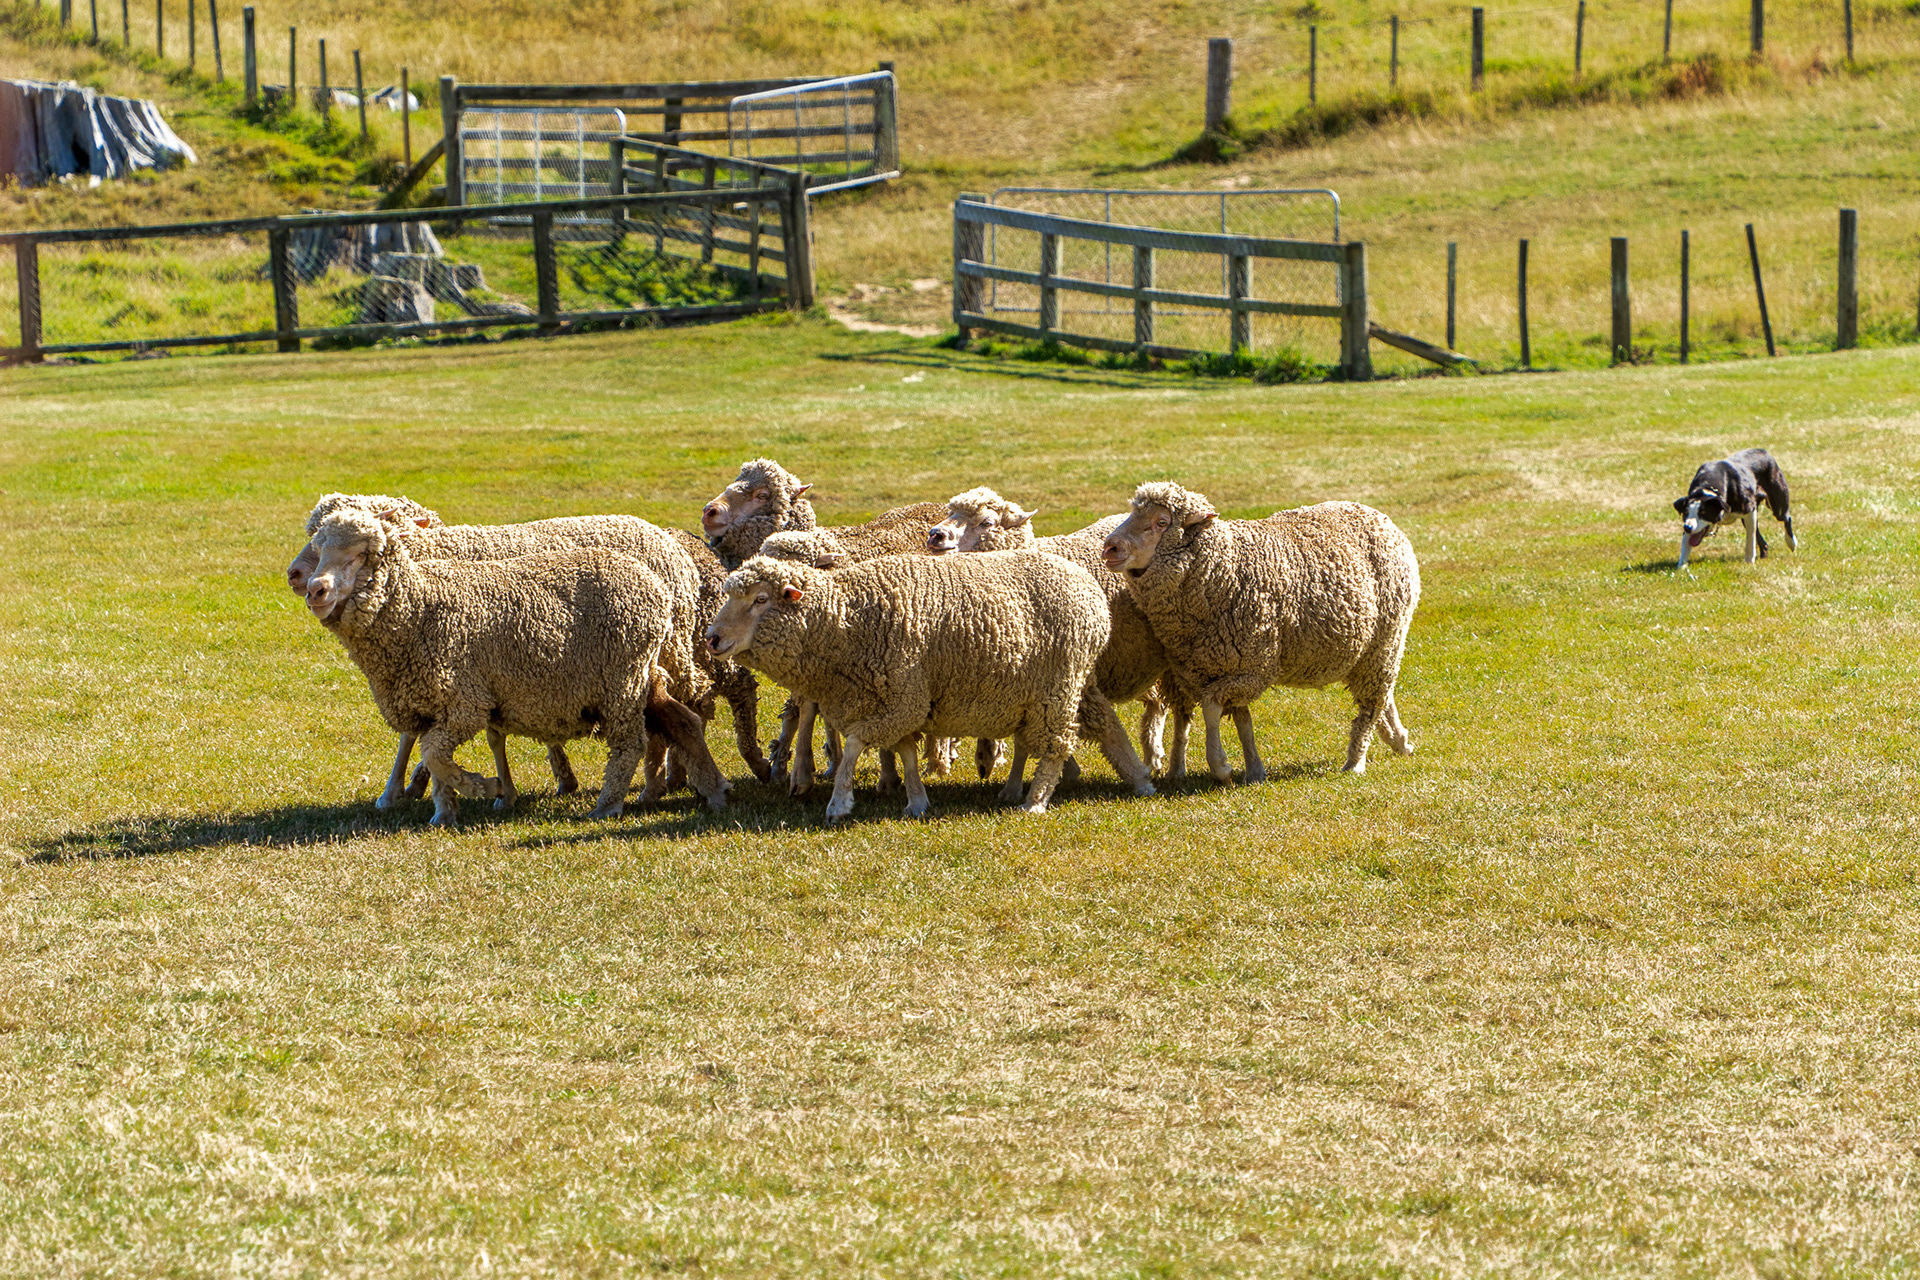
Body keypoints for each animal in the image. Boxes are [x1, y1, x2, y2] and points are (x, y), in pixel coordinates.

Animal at [288, 497, 748, 805]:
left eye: (361, 552)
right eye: (314, 537)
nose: (301, 579)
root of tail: (665, 538)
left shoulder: (459, 676)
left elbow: (430, 742)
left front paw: (436, 787)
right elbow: (426, 737)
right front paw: (416, 790)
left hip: (648, 662)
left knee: (676, 713)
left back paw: (658, 784)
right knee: (676, 715)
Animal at [704, 550, 1156, 820]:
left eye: (760, 600)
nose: (711, 638)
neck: (846, 621)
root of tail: (1087, 584)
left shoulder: (903, 696)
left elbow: (853, 745)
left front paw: (839, 802)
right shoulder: (898, 699)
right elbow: (904, 751)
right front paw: (917, 801)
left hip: (1057, 687)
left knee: (1057, 746)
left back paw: (1036, 801)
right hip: (1046, 688)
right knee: (1092, 728)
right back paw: (1133, 780)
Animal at [928, 488, 1173, 778]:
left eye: (987, 523)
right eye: (950, 513)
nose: (936, 535)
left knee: (1161, 705)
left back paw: (1155, 755)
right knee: (1156, 703)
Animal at [1099, 481, 1420, 783]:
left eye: (1161, 522)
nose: (1110, 547)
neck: (1224, 569)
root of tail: (1379, 517)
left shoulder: (1253, 667)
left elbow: (1212, 707)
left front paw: (1221, 766)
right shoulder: (1204, 668)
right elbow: (1238, 721)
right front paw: (1252, 770)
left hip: (1387, 637)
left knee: (1370, 704)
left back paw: (1355, 762)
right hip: (1373, 649)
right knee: (1384, 694)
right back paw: (1399, 740)